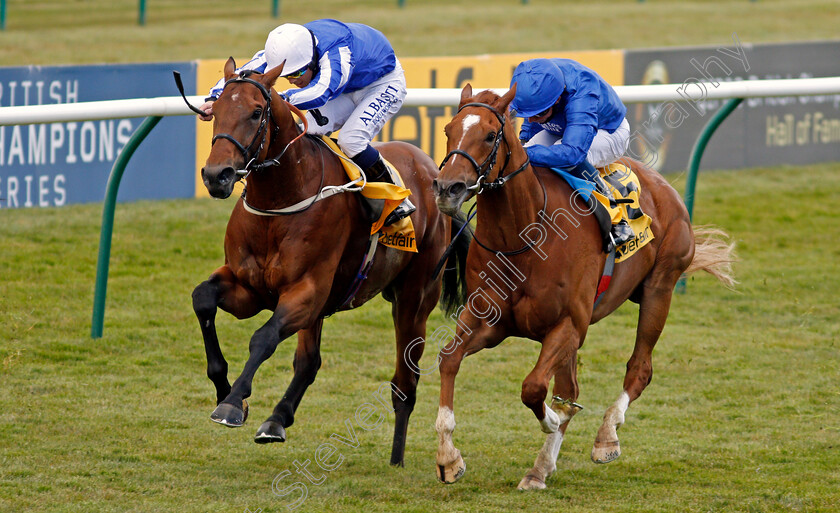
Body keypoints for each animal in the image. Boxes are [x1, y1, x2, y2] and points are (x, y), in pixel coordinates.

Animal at [191, 58, 470, 466]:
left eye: (256, 112)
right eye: (216, 111)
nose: (216, 176)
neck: (280, 201)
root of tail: (433, 172)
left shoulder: (306, 290)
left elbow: (263, 338)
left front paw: (231, 403)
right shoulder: (250, 289)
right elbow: (203, 299)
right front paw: (226, 390)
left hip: (414, 300)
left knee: (404, 382)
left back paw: (397, 458)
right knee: (309, 362)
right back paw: (277, 420)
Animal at [434, 86, 736, 490]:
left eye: (489, 135)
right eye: (448, 129)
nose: (446, 188)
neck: (525, 236)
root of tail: (664, 186)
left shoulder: (568, 325)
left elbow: (535, 388)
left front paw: (553, 420)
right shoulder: (488, 322)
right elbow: (449, 359)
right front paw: (449, 458)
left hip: (660, 288)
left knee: (638, 369)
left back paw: (605, 437)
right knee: (571, 388)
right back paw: (540, 468)